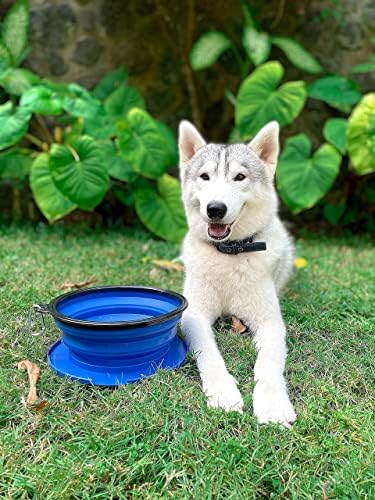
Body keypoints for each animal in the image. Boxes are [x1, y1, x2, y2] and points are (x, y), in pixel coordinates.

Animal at [180, 120, 300, 426]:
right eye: (205, 176)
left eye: (239, 177)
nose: (215, 209)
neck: (229, 254)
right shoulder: (192, 316)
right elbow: (209, 353)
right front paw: (223, 391)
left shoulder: (271, 323)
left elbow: (269, 364)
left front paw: (272, 404)